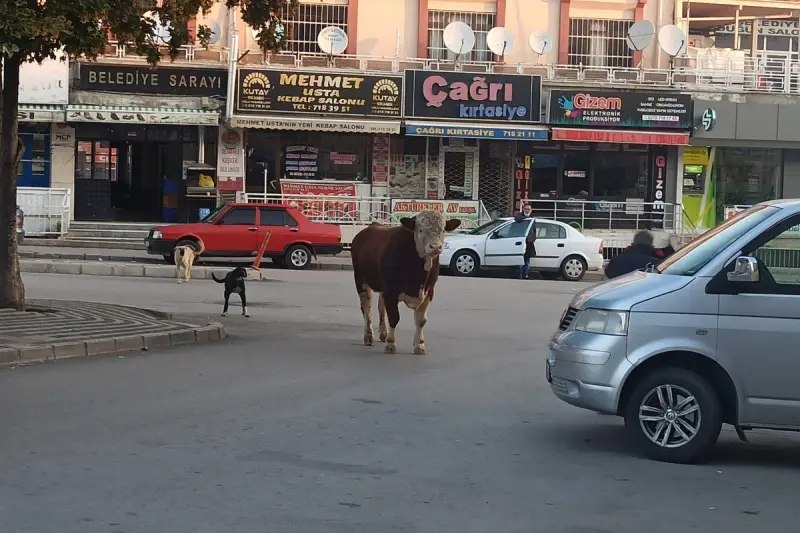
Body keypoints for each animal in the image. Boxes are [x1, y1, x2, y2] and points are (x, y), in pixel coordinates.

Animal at [352, 211, 460, 354]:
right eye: (420, 229)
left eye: (442, 230)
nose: (435, 247)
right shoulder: (391, 291)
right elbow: (394, 317)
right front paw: (391, 344)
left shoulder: (429, 291)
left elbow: (421, 320)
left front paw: (419, 345)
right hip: (360, 280)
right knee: (366, 307)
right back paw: (369, 335)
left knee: (381, 306)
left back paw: (383, 333)